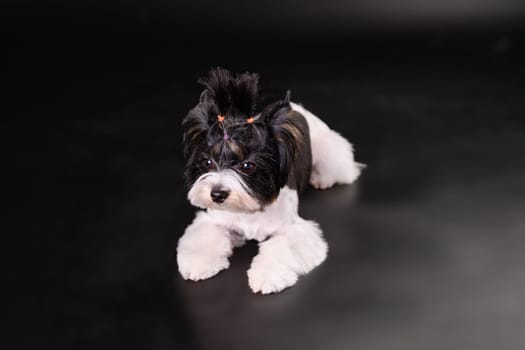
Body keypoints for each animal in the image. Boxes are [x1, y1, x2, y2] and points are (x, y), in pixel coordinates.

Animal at [176, 67, 360, 292]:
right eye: (207, 162)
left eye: (248, 166)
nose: (217, 194)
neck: (249, 210)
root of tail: (298, 108)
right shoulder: (213, 221)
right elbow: (205, 236)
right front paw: (199, 264)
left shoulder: (292, 229)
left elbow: (281, 245)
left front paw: (267, 276)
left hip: (328, 150)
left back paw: (322, 179)